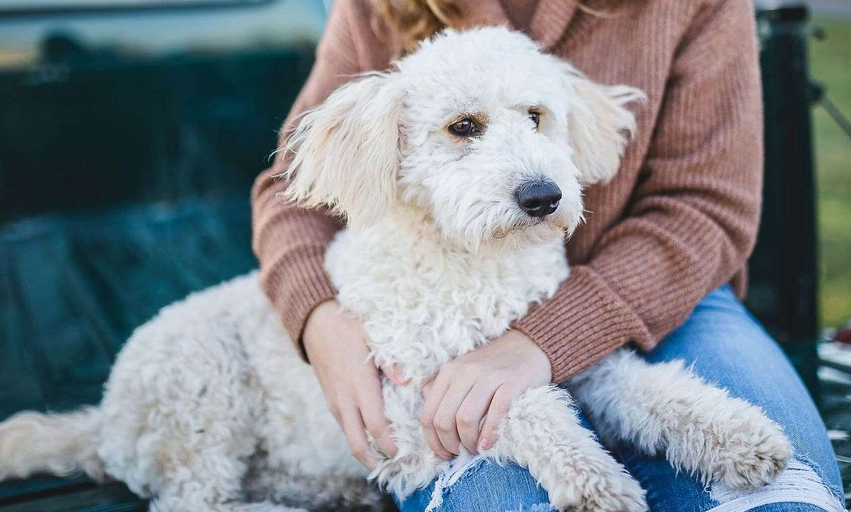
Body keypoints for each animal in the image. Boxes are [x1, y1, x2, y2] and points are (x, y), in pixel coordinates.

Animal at [0, 28, 792, 512]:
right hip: (202, 386)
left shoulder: (576, 359)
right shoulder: (420, 407)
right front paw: (595, 479)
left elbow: (660, 392)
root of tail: (103, 419)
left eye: (537, 115)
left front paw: (740, 436)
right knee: (194, 501)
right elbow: (527, 410)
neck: (472, 262)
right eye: (463, 127)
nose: (543, 195)